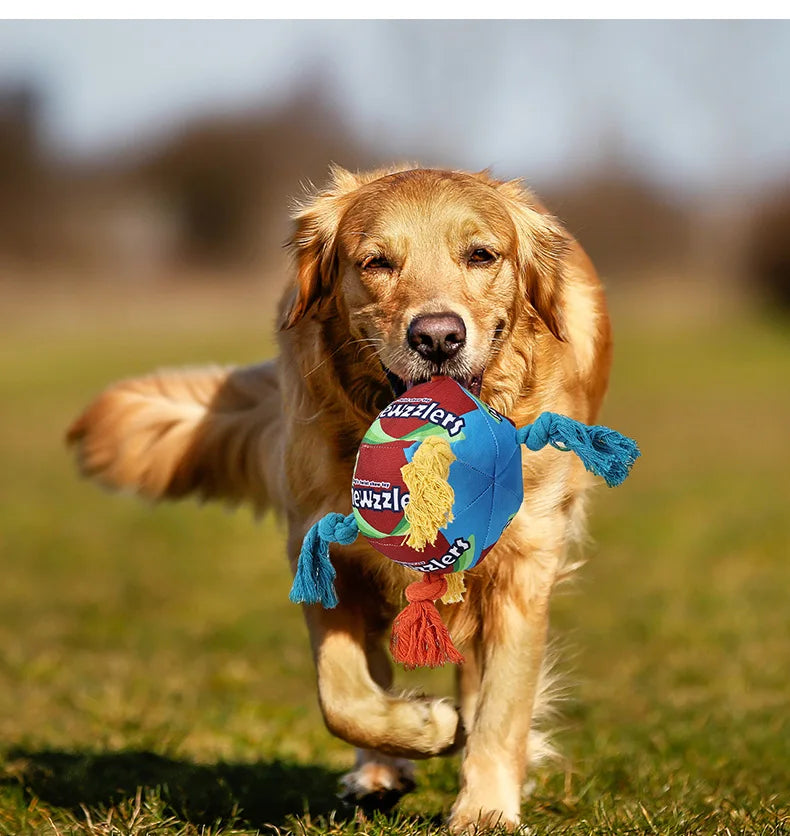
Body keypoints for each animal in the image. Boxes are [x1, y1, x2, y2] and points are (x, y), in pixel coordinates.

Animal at [66, 163, 612, 828]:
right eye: (376, 262)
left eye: (482, 255)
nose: (437, 337)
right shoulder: (322, 549)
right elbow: (343, 696)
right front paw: (423, 726)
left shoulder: (521, 565)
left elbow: (502, 702)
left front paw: (485, 808)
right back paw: (380, 768)